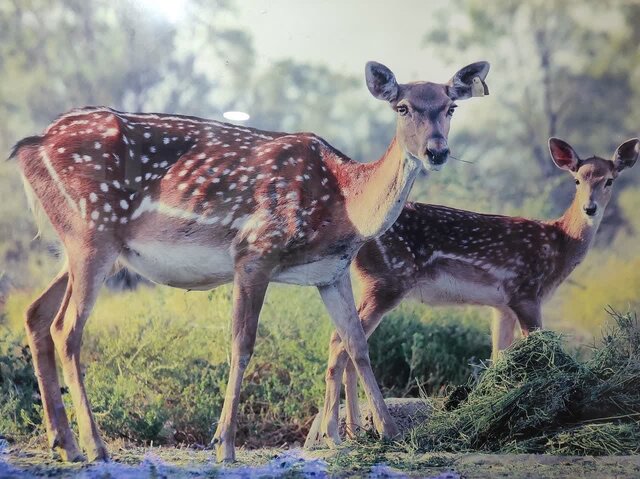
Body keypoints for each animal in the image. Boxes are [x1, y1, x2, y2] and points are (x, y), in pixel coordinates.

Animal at [10, 59, 490, 462]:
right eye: (403, 107)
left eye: (450, 107)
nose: (436, 151)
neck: (347, 206)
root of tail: (31, 146)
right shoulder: (255, 252)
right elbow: (242, 344)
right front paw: (224, 445)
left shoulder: (330, 273)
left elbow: (356, 343)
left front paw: (389, 433)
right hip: (92, 231)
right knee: (67, 327)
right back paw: (94, 446)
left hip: (85, 246)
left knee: (35, 313)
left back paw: (65, 442)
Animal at [316, 136, 640, 442]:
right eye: (577, 180)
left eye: (609, 180)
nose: (590, 208)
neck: (559, 244)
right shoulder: (526, 292)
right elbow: (538, 350)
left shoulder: (502, 305)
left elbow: (498, 355)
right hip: (388, 280)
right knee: (344, 342)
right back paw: (354, 433)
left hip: (374, 282)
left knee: (345, 340)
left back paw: (354, 432)